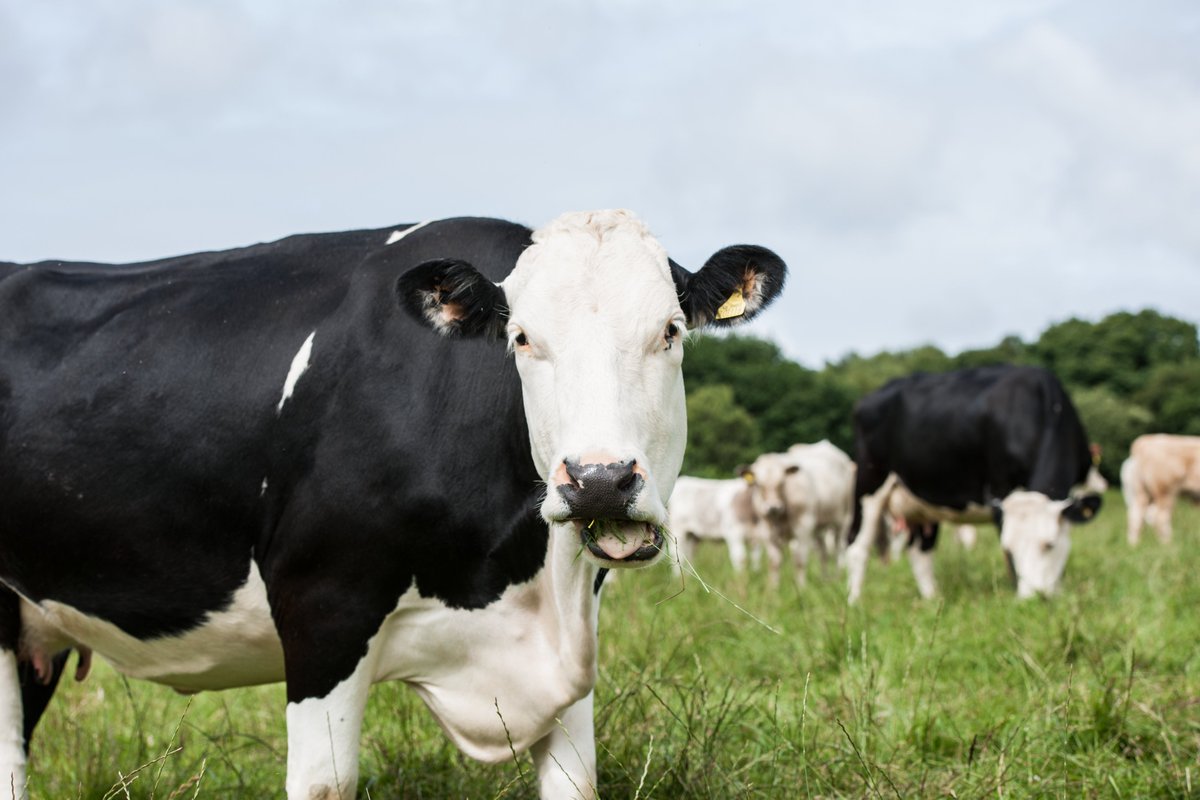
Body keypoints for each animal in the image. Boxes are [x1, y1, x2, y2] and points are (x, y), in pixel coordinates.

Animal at [0, 210, 786, 799]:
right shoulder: (323, 609)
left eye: (670, 331)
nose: (598, 479)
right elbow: (325, 783)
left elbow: (577, 782)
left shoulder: (567, 646)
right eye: (522, 337)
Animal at [742, 440, 855, 587]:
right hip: (818, 528)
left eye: (782, 482)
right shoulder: (767, 530)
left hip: (843, 520)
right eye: (759, 484)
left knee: (838, 550)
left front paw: (801, 588)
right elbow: (774, 562)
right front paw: (773, 588)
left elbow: (799, 560)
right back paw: (824, 579)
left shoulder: (803, 526)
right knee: (823, 553)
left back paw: (837, 577)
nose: (773, 507)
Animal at [845, 365, 1103, 603]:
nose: (1033, 598)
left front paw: (1057, 589)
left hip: (922, 499)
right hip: (869, 483)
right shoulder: (1000, 488)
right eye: (1009, 547)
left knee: (920, 551)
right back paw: (854, 603)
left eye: (1049, 544)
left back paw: (932, 600)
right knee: (857, 547)